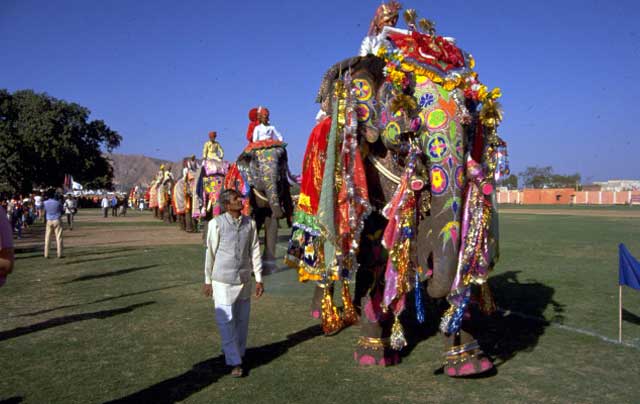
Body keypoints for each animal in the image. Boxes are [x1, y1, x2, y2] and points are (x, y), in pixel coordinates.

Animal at [288, 5, 508, 378]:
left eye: (470, 121)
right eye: (407, 114)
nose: (429, 268)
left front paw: (469, 362)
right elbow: (376, 248)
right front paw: (373, 352)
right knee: (325, 256)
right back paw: (326, 316)